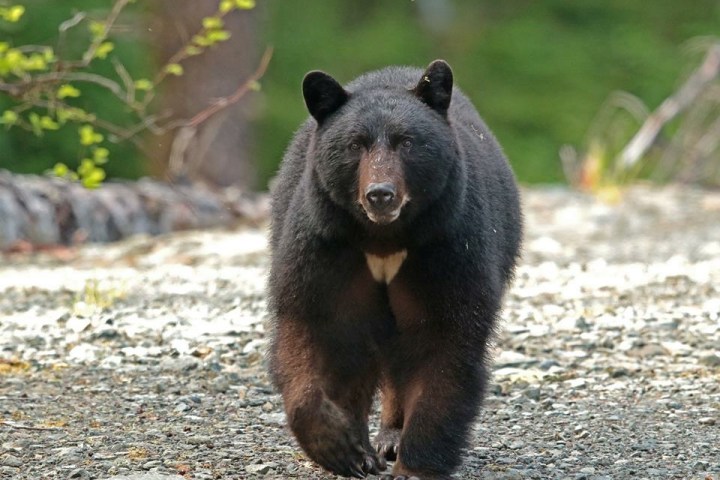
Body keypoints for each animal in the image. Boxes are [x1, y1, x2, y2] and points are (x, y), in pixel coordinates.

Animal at [268, 60, 522, 480]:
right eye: (355, 144)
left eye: (407, 142)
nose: (380, 194)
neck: (383, 239)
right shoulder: (326, 245)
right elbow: (313, 330)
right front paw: (343, 447)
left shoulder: (447, 246)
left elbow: (445, 342)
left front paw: (415, 465)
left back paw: (391, 437)